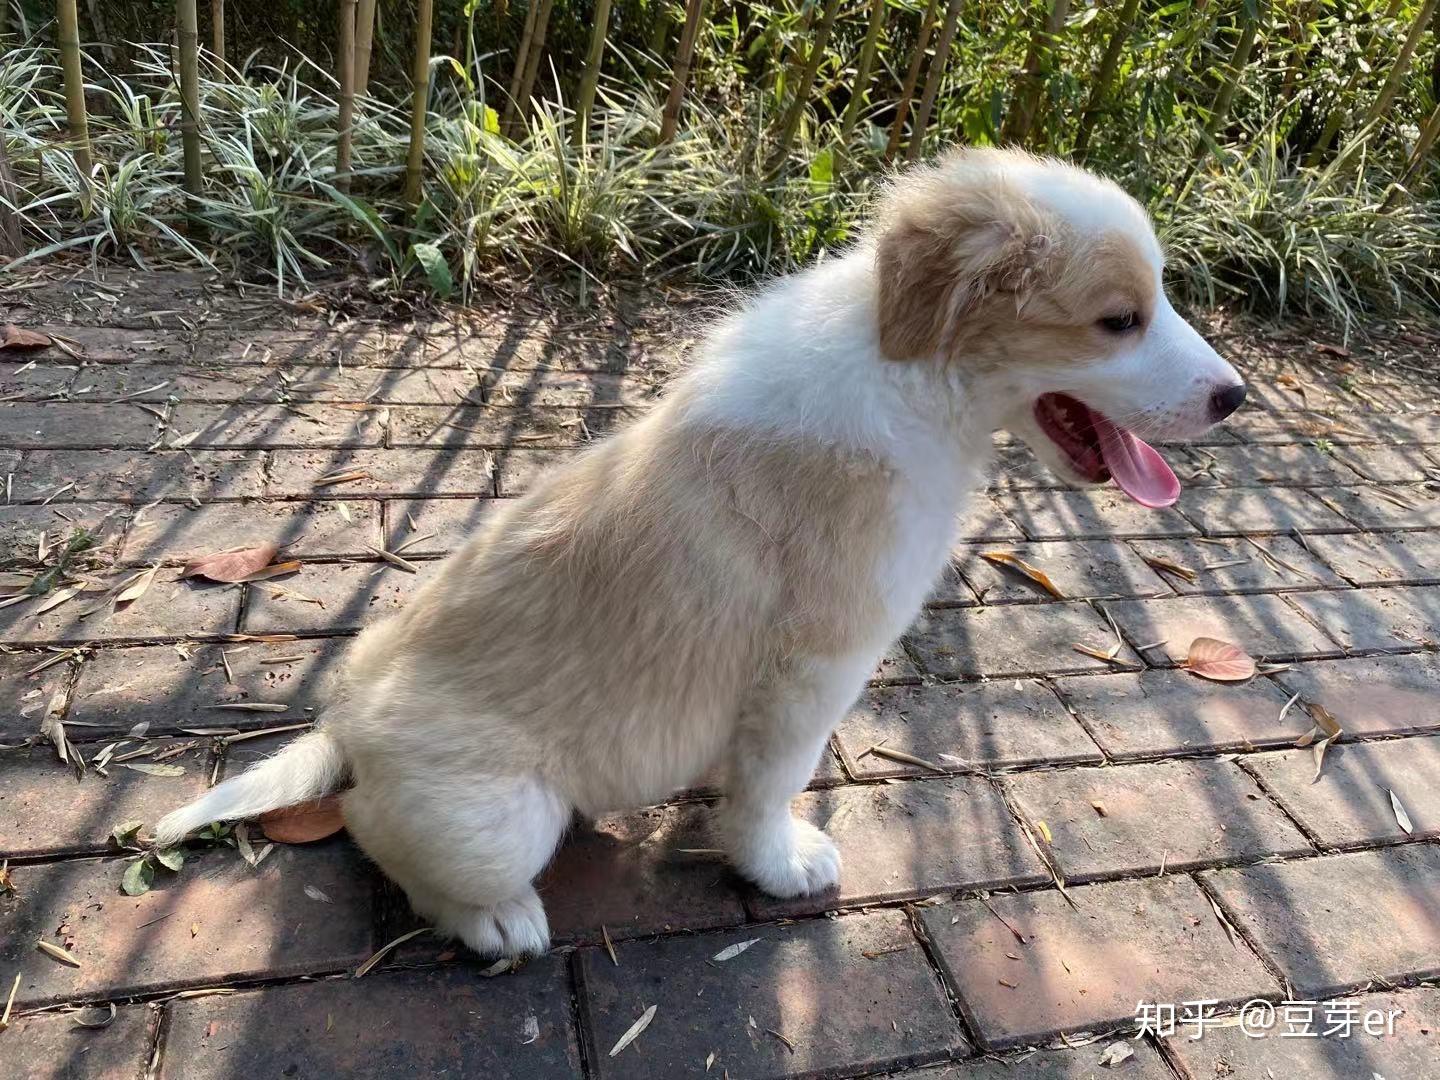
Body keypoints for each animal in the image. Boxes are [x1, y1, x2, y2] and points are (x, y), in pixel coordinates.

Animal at [154, 148, 1238, 961]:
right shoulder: (815, 666)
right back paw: (494, 920)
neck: (913, 376)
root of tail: (343, 723)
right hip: (497, 821)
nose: (1235, 399)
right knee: (381, 837)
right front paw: (778, 864)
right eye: (1118, 320)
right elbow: (770, 783)